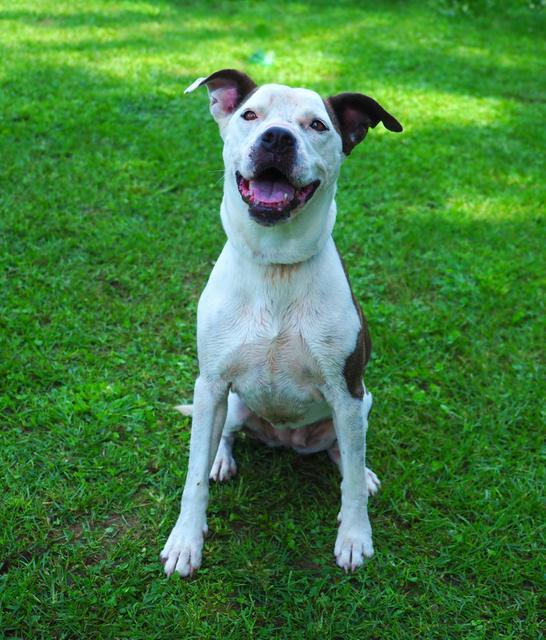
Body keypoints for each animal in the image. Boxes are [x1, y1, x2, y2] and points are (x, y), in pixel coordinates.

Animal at [159, 69, 402, 576]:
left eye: (317, 125)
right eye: (250, 115)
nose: (276, 138)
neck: (276, 265)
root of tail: (286, 438)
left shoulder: (347, 391)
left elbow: (350, 482)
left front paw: (355, 536)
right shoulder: (211, 384)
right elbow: (193, 476)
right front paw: (186, 541)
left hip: (362, 404)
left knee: (347, 454)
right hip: (231, 404)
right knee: (224, 436)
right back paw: (221, 460)